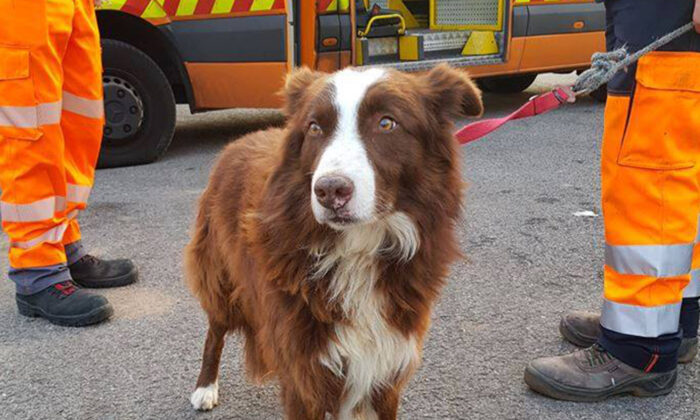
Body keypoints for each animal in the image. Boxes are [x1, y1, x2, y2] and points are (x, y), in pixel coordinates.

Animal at [185, 64, 482, 418]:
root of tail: (238, 141)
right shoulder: (306, 368)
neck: (358, 248)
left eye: (387, 123)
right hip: (221, 274)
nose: (329, 190)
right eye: (314, 128)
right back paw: (205, 387)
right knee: (215, 330)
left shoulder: (386, 366)